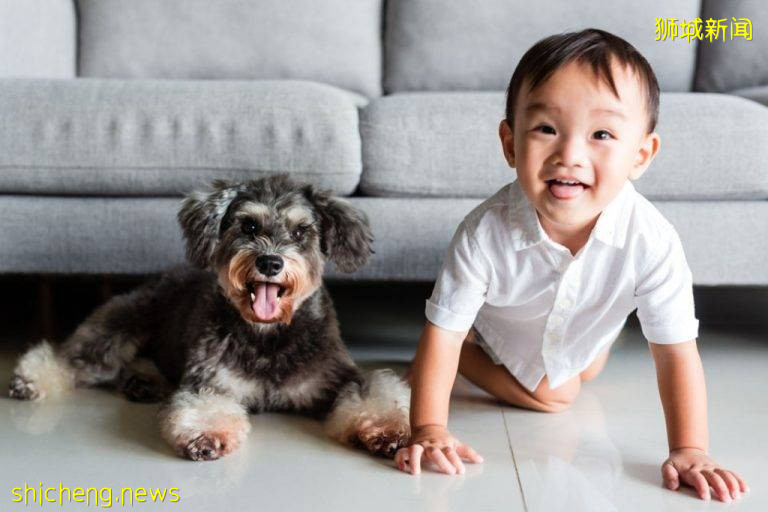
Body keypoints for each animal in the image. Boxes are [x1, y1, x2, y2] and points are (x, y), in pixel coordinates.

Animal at [9, 175, 412, 460]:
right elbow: (203, 406)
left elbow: (374, 392)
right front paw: (207, 435)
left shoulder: (338, 375)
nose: (270, 262)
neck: (267, 336)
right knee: (72, 356)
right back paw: (30, 379)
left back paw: (143, 382)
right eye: (248, 226)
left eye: (302, 231)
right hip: (121, 326)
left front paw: (390, 431)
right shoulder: (209, 381)